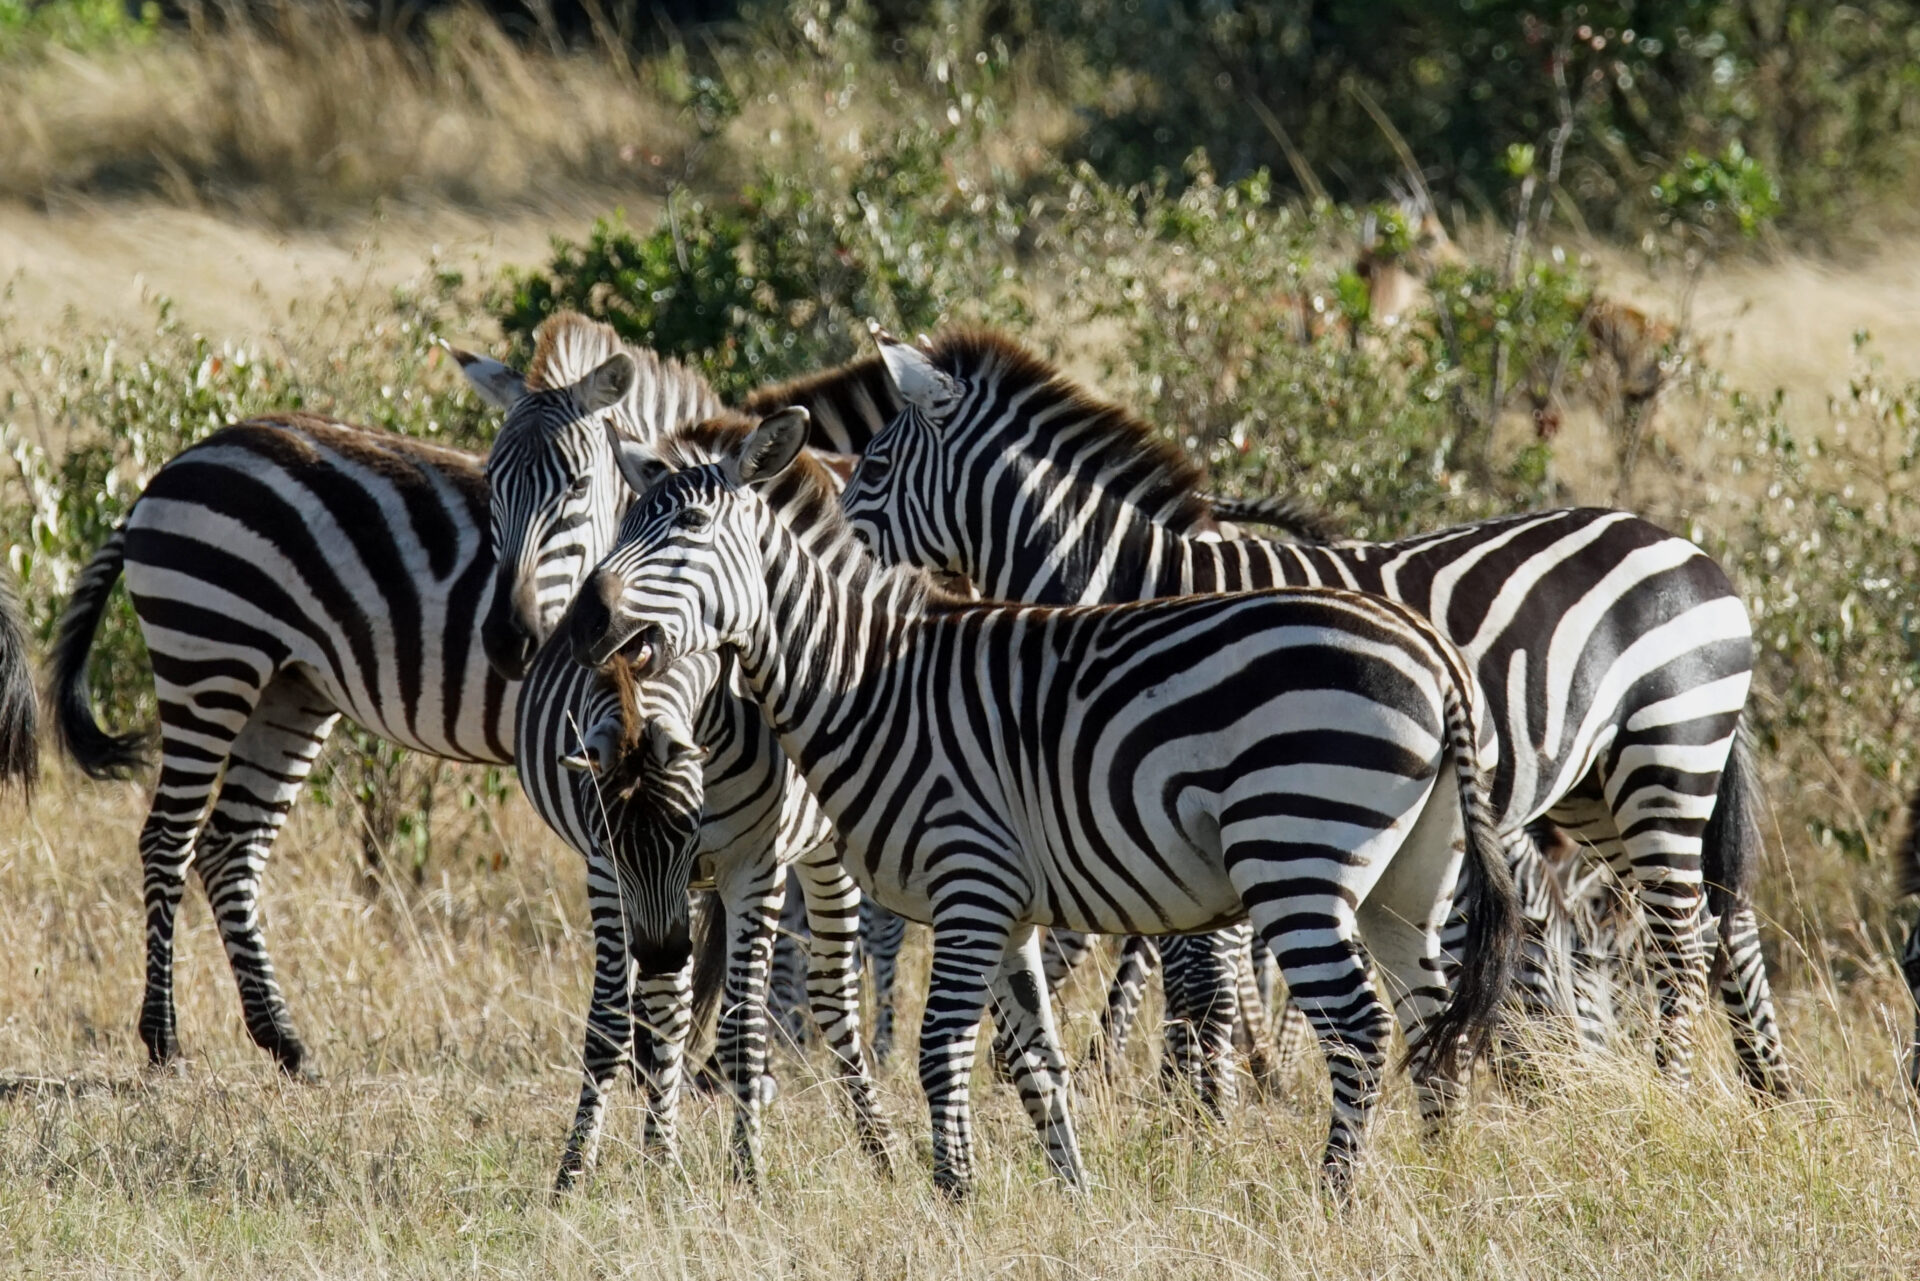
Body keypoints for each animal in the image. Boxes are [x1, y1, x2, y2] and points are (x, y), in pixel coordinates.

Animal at [563, 408, 1522, 1195]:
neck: (867, 679)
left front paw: (954, 1195)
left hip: (1296, 855)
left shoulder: (968, 880)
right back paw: (1443, 1179)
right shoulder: (1012, 908)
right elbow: (1038, 1061)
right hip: (1409, 880)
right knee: (1432, 1024)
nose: (581, 621)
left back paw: (1335, 1193)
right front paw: (1073, 1194)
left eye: (688, 526)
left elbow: (940, 1049)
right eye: (626, 522)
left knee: (1360, 1028)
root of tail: (1433, 653)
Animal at [839, 327, 1788, 1096]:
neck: (1134, 585)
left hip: (1666, 755)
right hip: (1602, 787)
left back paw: (1677, 1089)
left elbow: (1205, 988)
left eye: (872, 470)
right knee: (1723, 924)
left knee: (1681, 945)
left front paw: (1201, 1118)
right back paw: (1767, 1089)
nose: (826, 547)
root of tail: (1689, 548)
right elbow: (1194, 978)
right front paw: (1196, 1107)